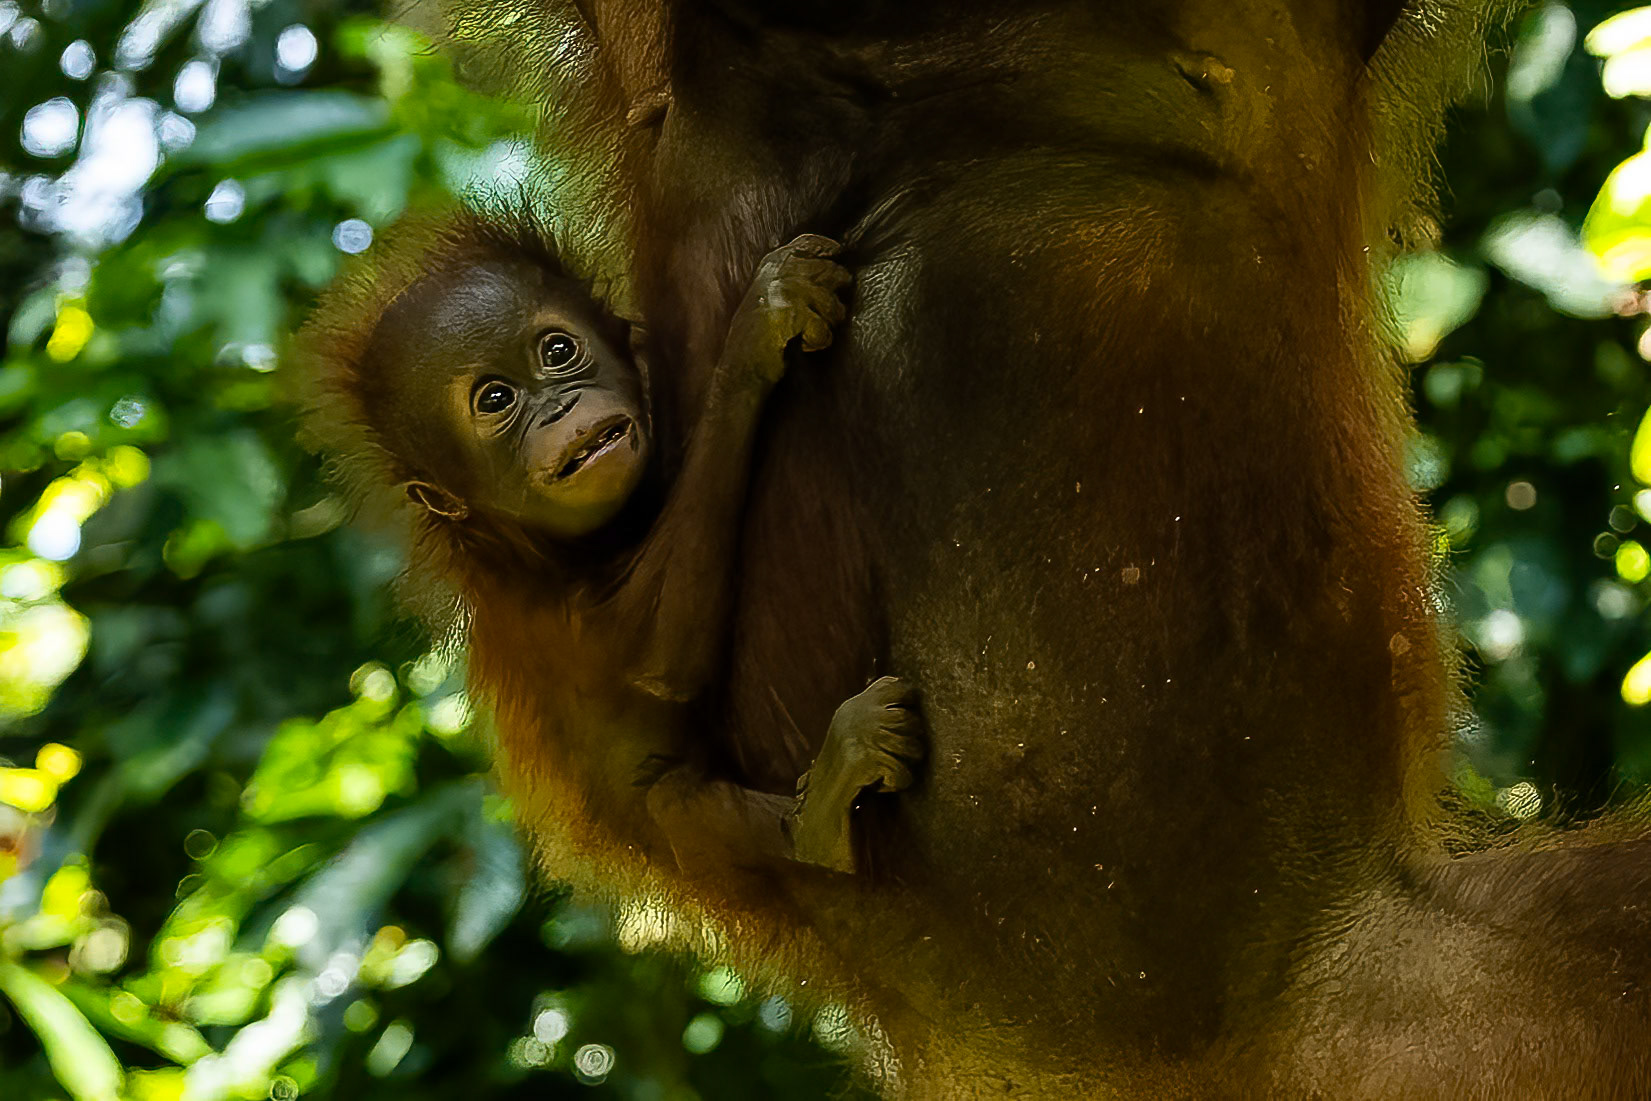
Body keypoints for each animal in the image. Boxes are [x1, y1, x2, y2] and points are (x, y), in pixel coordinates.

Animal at [300, 215, 924, 884]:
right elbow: (661, 661)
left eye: (557, 352)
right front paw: (757, 328)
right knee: (679, 805)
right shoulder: (544, 609)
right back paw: (825, 815)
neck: (533, 546)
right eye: (495, 400)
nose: (562, 408)